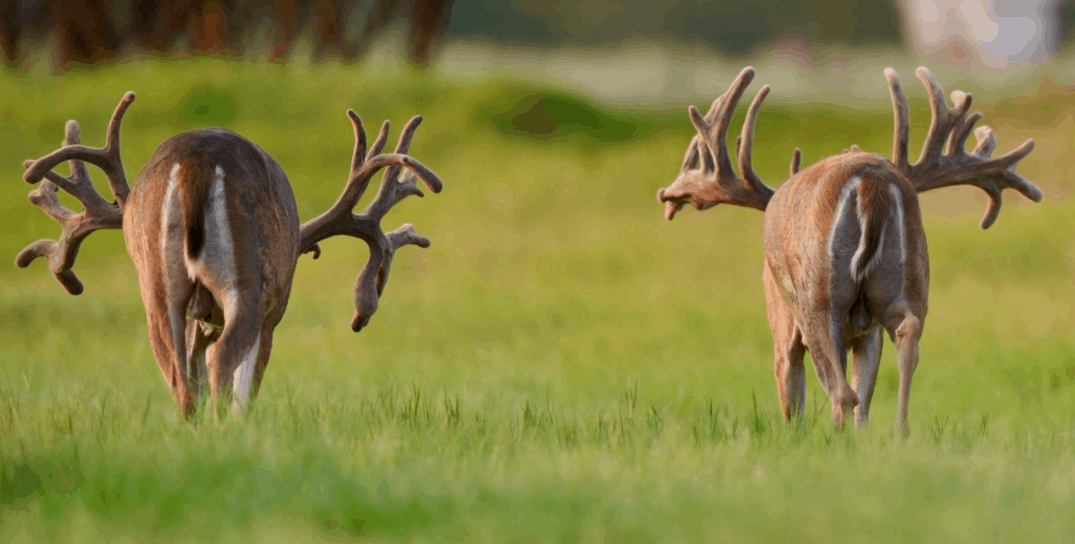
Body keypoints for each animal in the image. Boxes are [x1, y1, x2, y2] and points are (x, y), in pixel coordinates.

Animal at [15, 92, 443, 418]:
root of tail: (195, 160)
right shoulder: (272, 312)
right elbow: (247, 385)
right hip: (247, 278)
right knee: (221, 361)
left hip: (156, 282)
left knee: (179, 375)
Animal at [656, 66, 1042, 433]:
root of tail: (870, 176)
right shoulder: (867, 331)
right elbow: (865, 391)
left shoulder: (782, 320)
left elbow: (792, 395)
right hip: (909, 277)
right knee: (905, 336)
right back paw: (901, 432)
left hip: (819, 295)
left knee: (839, 388)